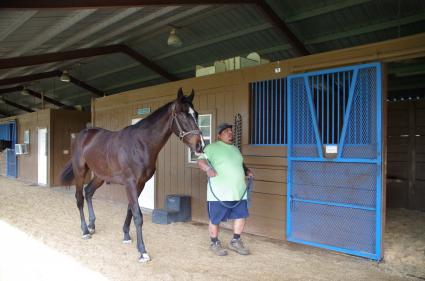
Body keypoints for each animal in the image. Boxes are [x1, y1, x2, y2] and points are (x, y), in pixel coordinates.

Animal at [59, 88, 202, 262]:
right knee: (79, 198)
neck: (140, 144)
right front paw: (142, 251)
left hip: (100, 176)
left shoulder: (140, 184)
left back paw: (92, 226)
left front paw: (126, 235)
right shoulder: (130, 183)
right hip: (80, 172)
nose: (200, 145)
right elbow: (138, 215)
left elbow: (130, 209)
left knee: (88, 192)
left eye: (196, 114)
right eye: (182, 115)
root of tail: (83, 135)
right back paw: (85, 231)